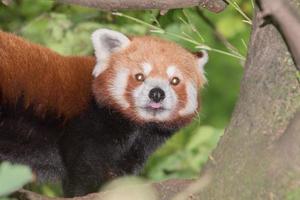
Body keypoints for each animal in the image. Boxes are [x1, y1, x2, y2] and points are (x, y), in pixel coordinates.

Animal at [0, 28, 207, 196]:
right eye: (139, 77)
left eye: (175, 81)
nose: (157, 93)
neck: (137, 128)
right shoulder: (89, 125)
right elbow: (85, 169)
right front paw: (88, 191)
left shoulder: (136, 148)